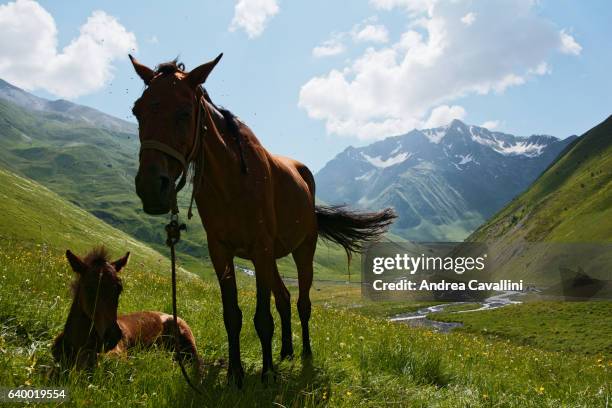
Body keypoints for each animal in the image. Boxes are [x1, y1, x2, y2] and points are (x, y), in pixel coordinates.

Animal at [130, 55, 396, 386]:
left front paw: (267, 373)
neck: (231, 180)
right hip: (270, 260)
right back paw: (286, 352)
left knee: (302, 303)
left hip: (300, 251)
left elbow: (262, 318)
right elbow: (232, 315)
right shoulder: (221, 252)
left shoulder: (260, 248)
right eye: (137, 110)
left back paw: (304, 354)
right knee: (283, 298)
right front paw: (235, 373)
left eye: (184, 112)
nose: (151, 188)